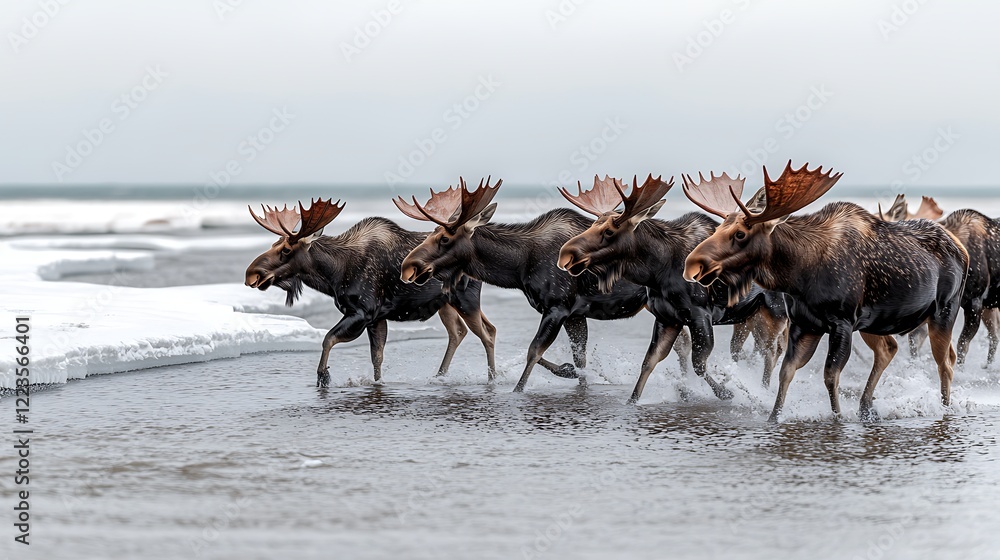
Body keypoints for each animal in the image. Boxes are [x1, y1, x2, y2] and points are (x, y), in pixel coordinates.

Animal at [244, 198, 497, 387]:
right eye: (274, 243)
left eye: (286, 249)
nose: (251, 274)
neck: (333, 274)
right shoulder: (376, 318)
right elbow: (377, 357)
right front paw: (377, 383)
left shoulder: (362, 312)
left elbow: (327, 339)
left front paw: (323, 377)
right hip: (447, 303)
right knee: (461, 332)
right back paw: (440, 376)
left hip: (465, 300)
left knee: (486, 334)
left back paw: (492, 378)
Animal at [394, 177, 671, 392]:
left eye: (444, 238)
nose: (409, 266)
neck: (518, 268)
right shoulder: (575, 314)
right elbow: (577, 360)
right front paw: (573, 372)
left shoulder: (557, 307)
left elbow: (533, 351)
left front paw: (519, 389)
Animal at [556, 174, 789, 403]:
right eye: (592, 224)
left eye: (609, 230)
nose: (566, 254)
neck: (657, 272)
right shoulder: (667, 318)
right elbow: (649, 362)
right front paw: (633, 401)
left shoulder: (700, 314)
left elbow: (699, 364)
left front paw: (727, 392)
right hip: (748, 317)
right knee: (752, 350)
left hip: (774, 312)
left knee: (771, 352)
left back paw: (762, 389)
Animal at [682, 161, 968, 422]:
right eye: (718, 228)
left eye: (740, 233)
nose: (692, 264)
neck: (797, 275)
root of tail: (962, 249)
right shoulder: (804, 324)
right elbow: (786, 372)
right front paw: (773, 417)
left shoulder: (842, 322)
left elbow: (830, 375)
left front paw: (838, 417)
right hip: (874, 322)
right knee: (890, 348)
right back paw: (866, 408)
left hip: (944, 312)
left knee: (946, 362)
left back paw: (944, 409)